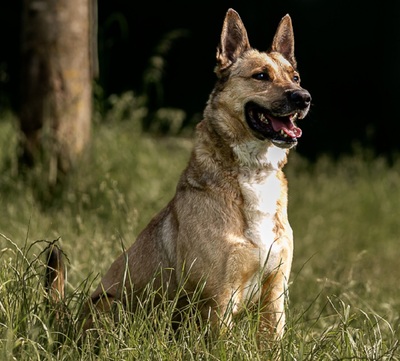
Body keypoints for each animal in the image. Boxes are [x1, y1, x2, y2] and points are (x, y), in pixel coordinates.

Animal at [46, 7, 310, 340]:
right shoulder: (219, 297)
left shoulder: (275, 293)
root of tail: (67, 327)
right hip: (111, 305)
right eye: (261, 75)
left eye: (295, 77)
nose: (304, 97)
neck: (254, 173)